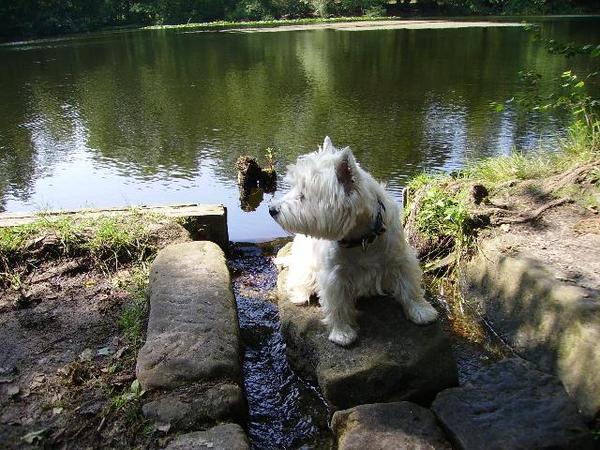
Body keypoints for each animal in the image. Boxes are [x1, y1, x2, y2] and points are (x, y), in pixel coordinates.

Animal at [270, 135, 438, 346]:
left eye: (303, 196)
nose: (271, 209)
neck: (362, 238)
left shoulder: (400, 259)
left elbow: (410, 287)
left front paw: (422, 312)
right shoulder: (334, 275)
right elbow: (338, 305)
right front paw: (342, 333)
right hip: (304, 264)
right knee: (298, 277)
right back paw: (300, 295)